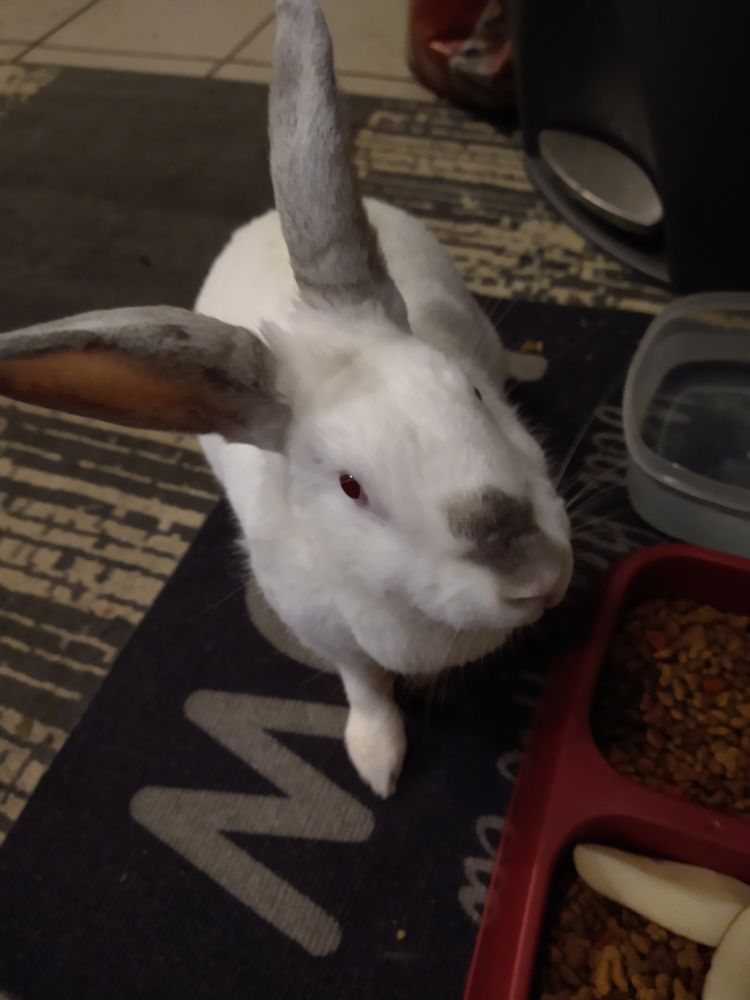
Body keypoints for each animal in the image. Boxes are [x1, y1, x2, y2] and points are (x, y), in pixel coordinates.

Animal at [0, 0, 572, 798]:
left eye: (476, 395)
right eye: (351, 486)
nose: (536, 577)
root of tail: (260, 220)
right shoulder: (327, 634)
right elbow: (365, 688)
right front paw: (377, 762)